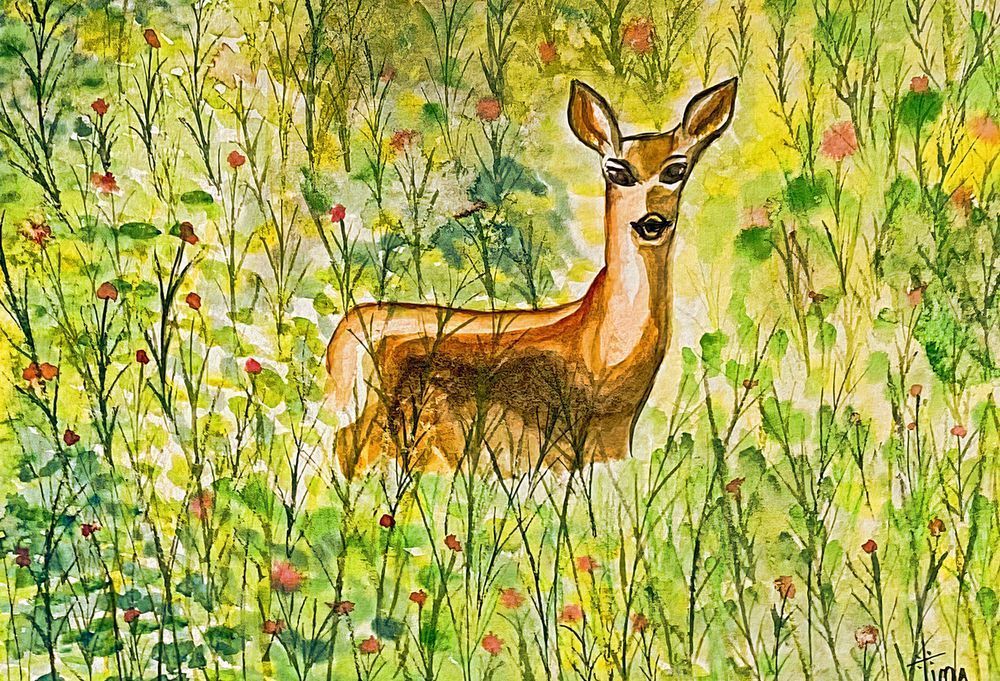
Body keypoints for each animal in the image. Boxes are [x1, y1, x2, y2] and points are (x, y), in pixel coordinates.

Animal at [325, 77, 737, 474]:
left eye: (676, 169)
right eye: (617, 170)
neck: (597, 353)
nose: (651, 222)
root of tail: (338, 346)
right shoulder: (553, 451)